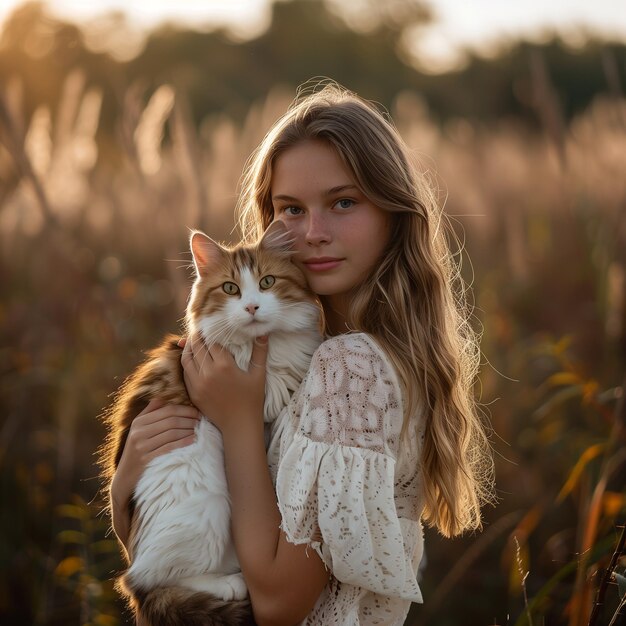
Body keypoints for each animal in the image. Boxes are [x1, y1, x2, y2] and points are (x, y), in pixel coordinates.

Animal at [100, 221, 322, 624]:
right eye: (230, 289)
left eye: (267, 282)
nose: (251, 307)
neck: (262, 343)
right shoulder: (256, 387)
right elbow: (287, 373)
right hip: (209, 506)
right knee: (147, 579)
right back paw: (230, 583)